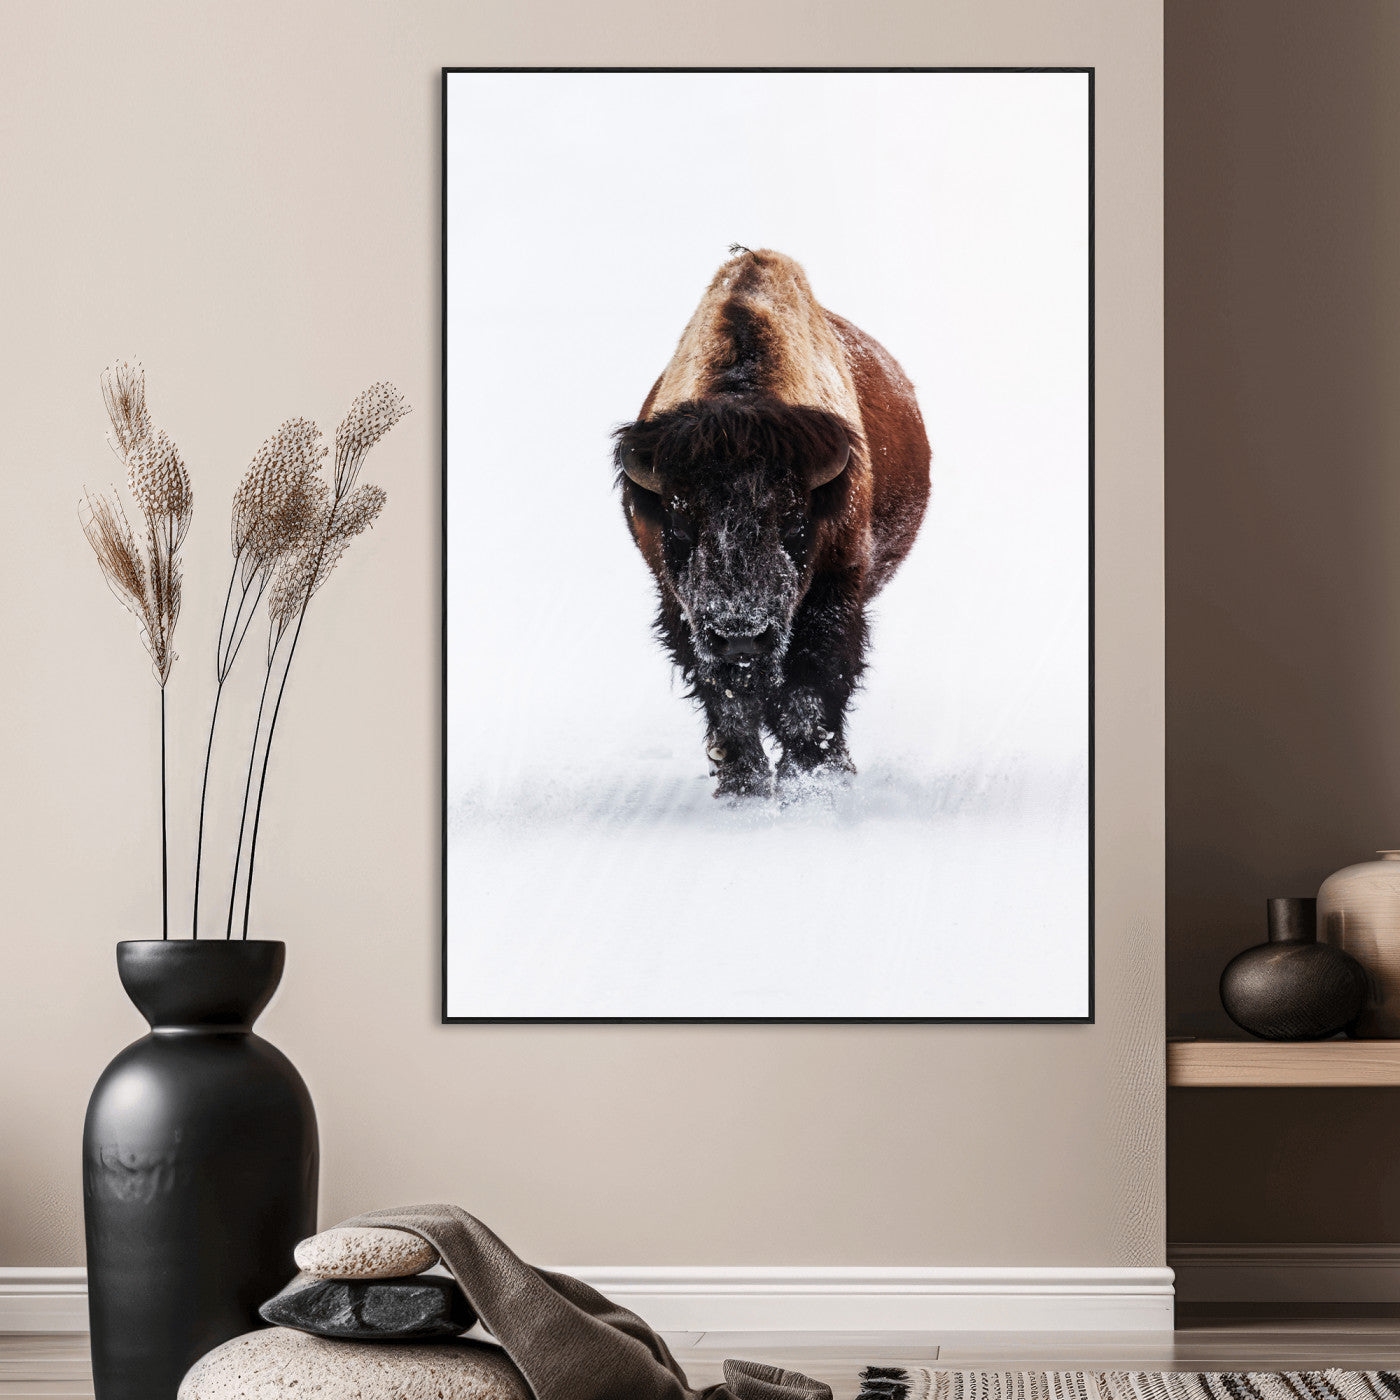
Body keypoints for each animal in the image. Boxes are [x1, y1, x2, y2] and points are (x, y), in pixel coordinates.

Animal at [615, 247, 931, 799]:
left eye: (793, 520)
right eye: (679, 520)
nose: (742, 635)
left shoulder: (831, 596)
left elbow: (810, 689)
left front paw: (811, 778)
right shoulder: (683, 611)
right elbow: (728, 697)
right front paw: (743, 784)